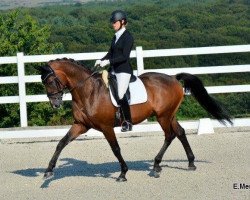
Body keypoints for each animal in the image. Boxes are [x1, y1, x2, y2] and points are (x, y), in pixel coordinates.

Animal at [37, 57, 232, 181]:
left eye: (51, 81)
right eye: (44, 82)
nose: (55, 104)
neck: (88, 91)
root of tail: (173, 78)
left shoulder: (106, 126)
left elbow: (115, 148)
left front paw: (123, 173)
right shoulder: (81, 125)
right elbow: (61, 143)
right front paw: (48, 171)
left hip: (163, 116)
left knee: (170, 135)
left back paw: (156, 166)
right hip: (169, 115)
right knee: (180, 132)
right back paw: (190, 163)